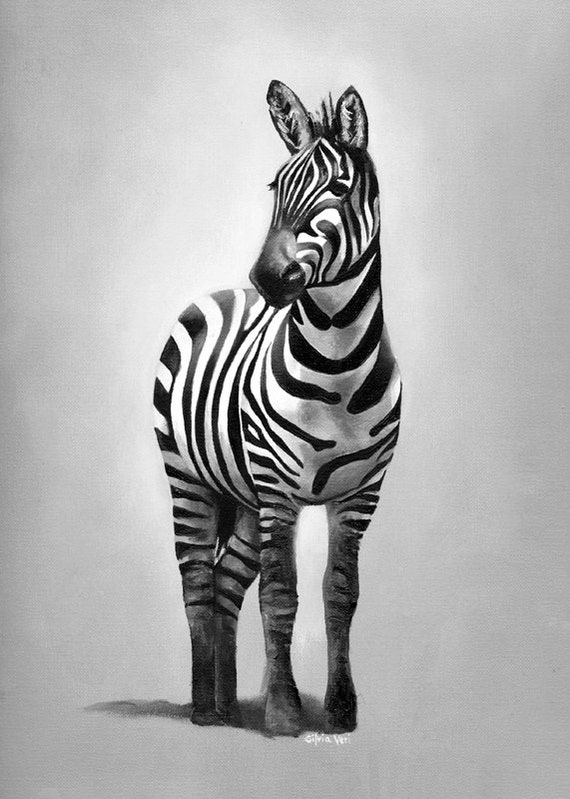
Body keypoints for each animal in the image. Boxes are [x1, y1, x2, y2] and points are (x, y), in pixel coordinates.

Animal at [153, 80, 401, 736]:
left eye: (339, 187)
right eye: (275, 185)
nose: (267, 277)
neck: (339, 370)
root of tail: (222, 292)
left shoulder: (359, 495)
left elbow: (340, 595)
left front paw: (339, 710)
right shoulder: (279, 491)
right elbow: (281, 596)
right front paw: (286, 713)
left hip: (241, 497)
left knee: (224, 585)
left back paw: (228, 704)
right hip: (188, 479)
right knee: (197, 582)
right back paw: (203, 711)